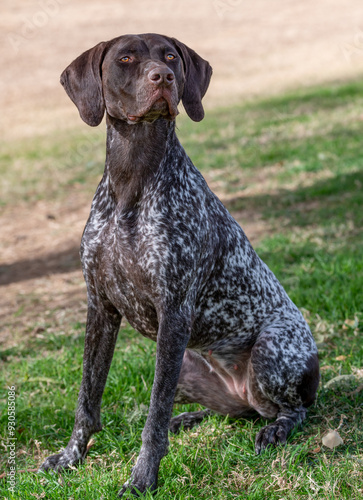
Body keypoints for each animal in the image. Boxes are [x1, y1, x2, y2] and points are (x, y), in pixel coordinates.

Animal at [39, 34, 318, 496]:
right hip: (186, 362)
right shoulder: (100, 308)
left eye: (170, 56)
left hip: (269, 348)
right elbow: (87, 399)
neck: (132, 181)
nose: (164, 77)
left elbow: (153, 418)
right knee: (229, 411)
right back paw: (189, 418)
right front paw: (71, 456)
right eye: (125, 58)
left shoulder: (173, 314)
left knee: (291, 409)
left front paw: (142, 478)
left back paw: (276, 429)